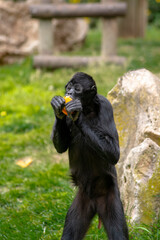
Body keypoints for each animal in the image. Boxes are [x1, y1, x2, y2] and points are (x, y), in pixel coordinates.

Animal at [50, 72, 128, 239]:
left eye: (77, 89)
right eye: (68, 87)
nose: (69, 93)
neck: (87, 109)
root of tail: (95, 202)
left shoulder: (106, 106)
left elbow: (114, 153)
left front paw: (77, 114)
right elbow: (61, 148)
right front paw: (58, 108)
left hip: (109, 196)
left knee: (118, 232)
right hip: (82, 199)